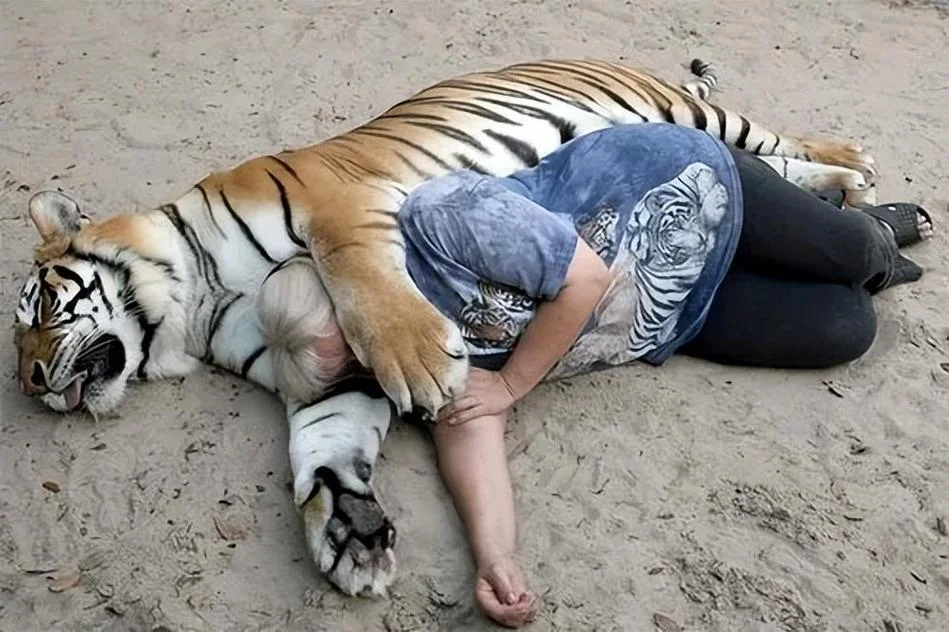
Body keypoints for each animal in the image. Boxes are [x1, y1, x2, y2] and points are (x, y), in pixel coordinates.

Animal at [13, 57, 879, 598]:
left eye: (39, 308)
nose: (30, 384)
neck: (193, 303)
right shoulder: (322, 376)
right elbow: (325, 448)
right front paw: (350, 536)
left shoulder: (334, 200)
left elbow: (362, 278)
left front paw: (424, 364)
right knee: (778, 168)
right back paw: (857, 201)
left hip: (688, 109)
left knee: (776, 138)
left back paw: (856, 164)